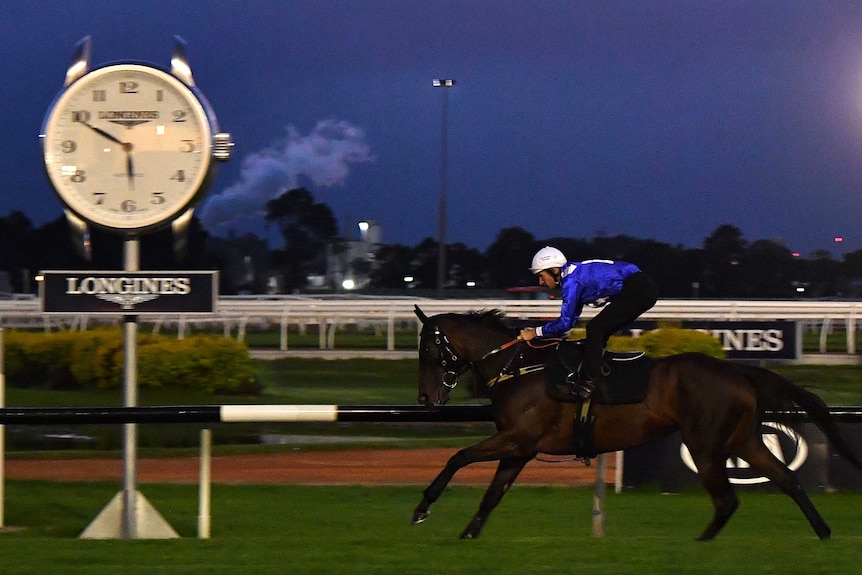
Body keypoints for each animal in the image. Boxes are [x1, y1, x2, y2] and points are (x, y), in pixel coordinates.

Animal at [412, 308, 862, 544]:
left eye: (430, 349)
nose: (425, 400)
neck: (520, 368)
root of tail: (740, 372)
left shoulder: (516, 438)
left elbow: (458, 457)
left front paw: (421, 508)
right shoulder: (520, 447)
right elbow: (492, 494)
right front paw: (468, 535)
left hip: (705, 444)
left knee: (727, 499)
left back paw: (701, 545)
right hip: (745, 440)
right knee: (787, 478)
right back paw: (823, 532)